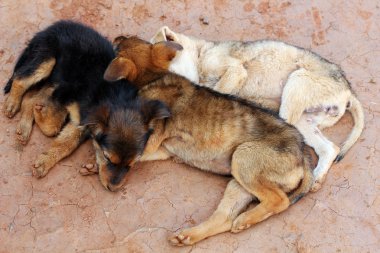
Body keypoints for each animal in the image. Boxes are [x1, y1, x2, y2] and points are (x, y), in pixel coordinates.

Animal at [2, 21, 168, 191]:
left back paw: (24, 128)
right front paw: (41, 117)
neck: (111, 96)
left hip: (55, 77)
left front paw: (44, 161)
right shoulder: (73, 108)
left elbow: (65, 143)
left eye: (132, 164)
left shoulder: (81, 120)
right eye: (107, 158)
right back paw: (12, 104)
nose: (113, 189)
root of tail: (54, 25)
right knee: (20, 80)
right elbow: (55, 131)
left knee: (30, 98)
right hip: (46, 60)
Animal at [102, 35, 314, 245]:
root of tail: (303, 152)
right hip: (239, 182)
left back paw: (244, 219)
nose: (116, 37)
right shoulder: (162, 149)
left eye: (117, 48)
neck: (153, 76)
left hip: (243, 157)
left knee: (280, 201)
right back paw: (190, 235)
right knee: (224, 219)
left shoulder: (150, 143)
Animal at [151, 26, 366, 191]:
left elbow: (217, 92)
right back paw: (317, 179)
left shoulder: (235, 71)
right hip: (305, 120)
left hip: (296, 83)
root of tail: (348, 90)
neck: (200, 54)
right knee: (330, 148)